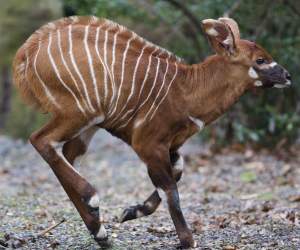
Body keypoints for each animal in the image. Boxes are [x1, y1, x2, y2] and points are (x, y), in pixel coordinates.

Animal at [12, 16, 292, 248]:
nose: (288, 75)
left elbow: (176, 174)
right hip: (79, 113)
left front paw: (130, 212)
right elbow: (170, 190)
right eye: (260, 60)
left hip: (88, 125)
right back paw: (92, 200)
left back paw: (100, 233)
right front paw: (187, 241)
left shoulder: (171, 147)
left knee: (65, 156)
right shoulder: (147, 144)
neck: (186, 90)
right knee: (41, 140)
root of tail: (28, 53)